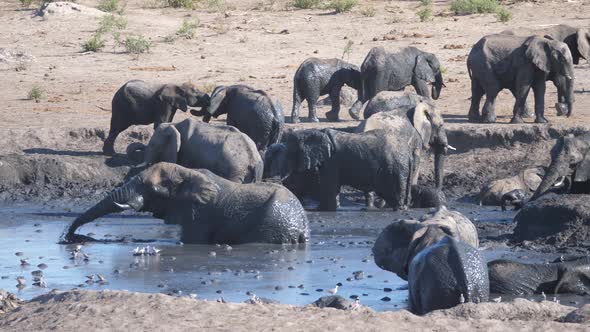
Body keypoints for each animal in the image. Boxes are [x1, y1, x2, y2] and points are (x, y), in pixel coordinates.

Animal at [60, 162, 310, 245]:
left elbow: (192, 241)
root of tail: (300, 228)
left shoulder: (199, 214)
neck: (186, 172)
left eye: (150, 188)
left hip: (268, 226)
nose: (69, 236)